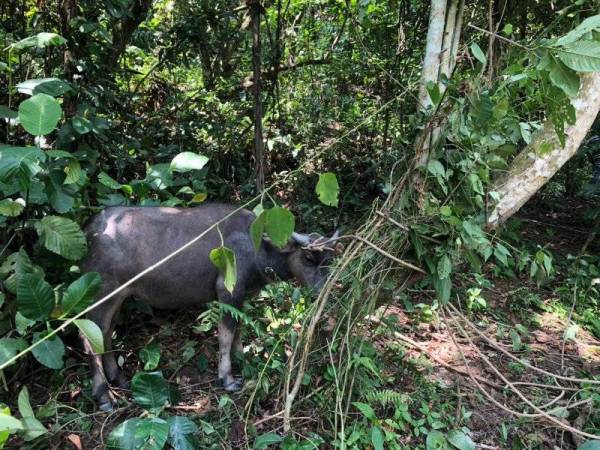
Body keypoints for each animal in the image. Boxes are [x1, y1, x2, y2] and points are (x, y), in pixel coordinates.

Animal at [80, 205, 342, 412]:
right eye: (308, 258)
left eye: (329, 260)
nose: (324, 289)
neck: (257, 247)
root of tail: (92, 227)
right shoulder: (227, 293)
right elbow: (226, 334)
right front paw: (227, 377)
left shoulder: (242, 298)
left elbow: (238, 331)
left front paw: (242, 361)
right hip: (101, 295)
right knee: (89, 338)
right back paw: (104, 395)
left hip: (119, 297)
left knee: (105, 333)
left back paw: (119, 378)